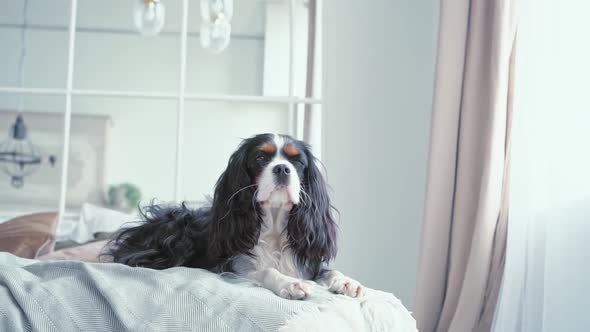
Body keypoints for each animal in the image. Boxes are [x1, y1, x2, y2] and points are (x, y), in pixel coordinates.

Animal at [106, 134, 366, 300]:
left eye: (297, 161)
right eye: (260, 158)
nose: (283, 168)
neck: (273, 226)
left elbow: (328, 270)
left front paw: (346, 281)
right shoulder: (232, 266)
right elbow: (266, 271)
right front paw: (289, 283)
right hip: (175, 232)